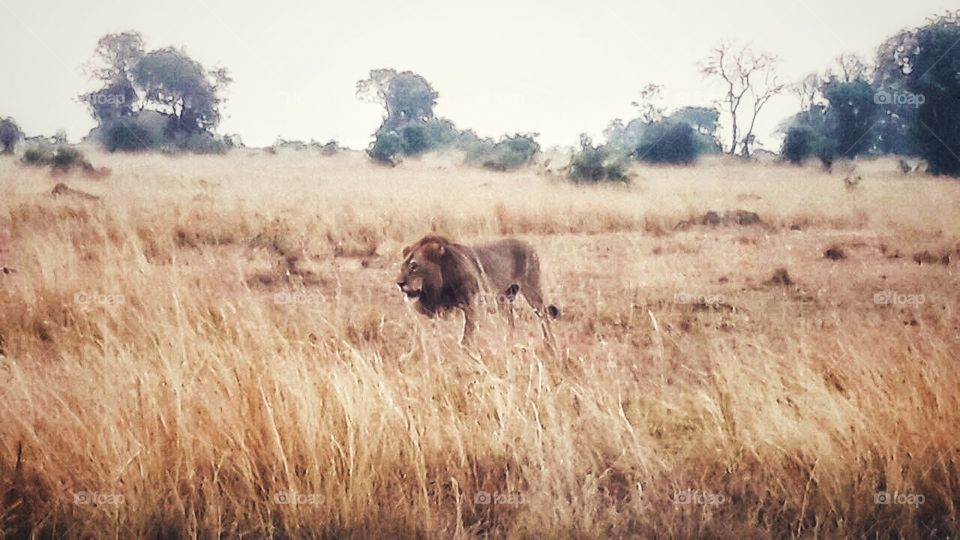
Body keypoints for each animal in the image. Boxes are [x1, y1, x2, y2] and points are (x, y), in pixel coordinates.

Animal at [396, 234, 559, 343]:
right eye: (402, 266)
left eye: (414, 266)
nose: (399, 283)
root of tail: (529, 245)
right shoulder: (439, 311)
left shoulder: (471, 306)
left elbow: (467, 336)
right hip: (504, 298)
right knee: (510, 321)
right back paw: (509, 340)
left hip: (532, 291)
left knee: (544, 316)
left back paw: (549, 342)